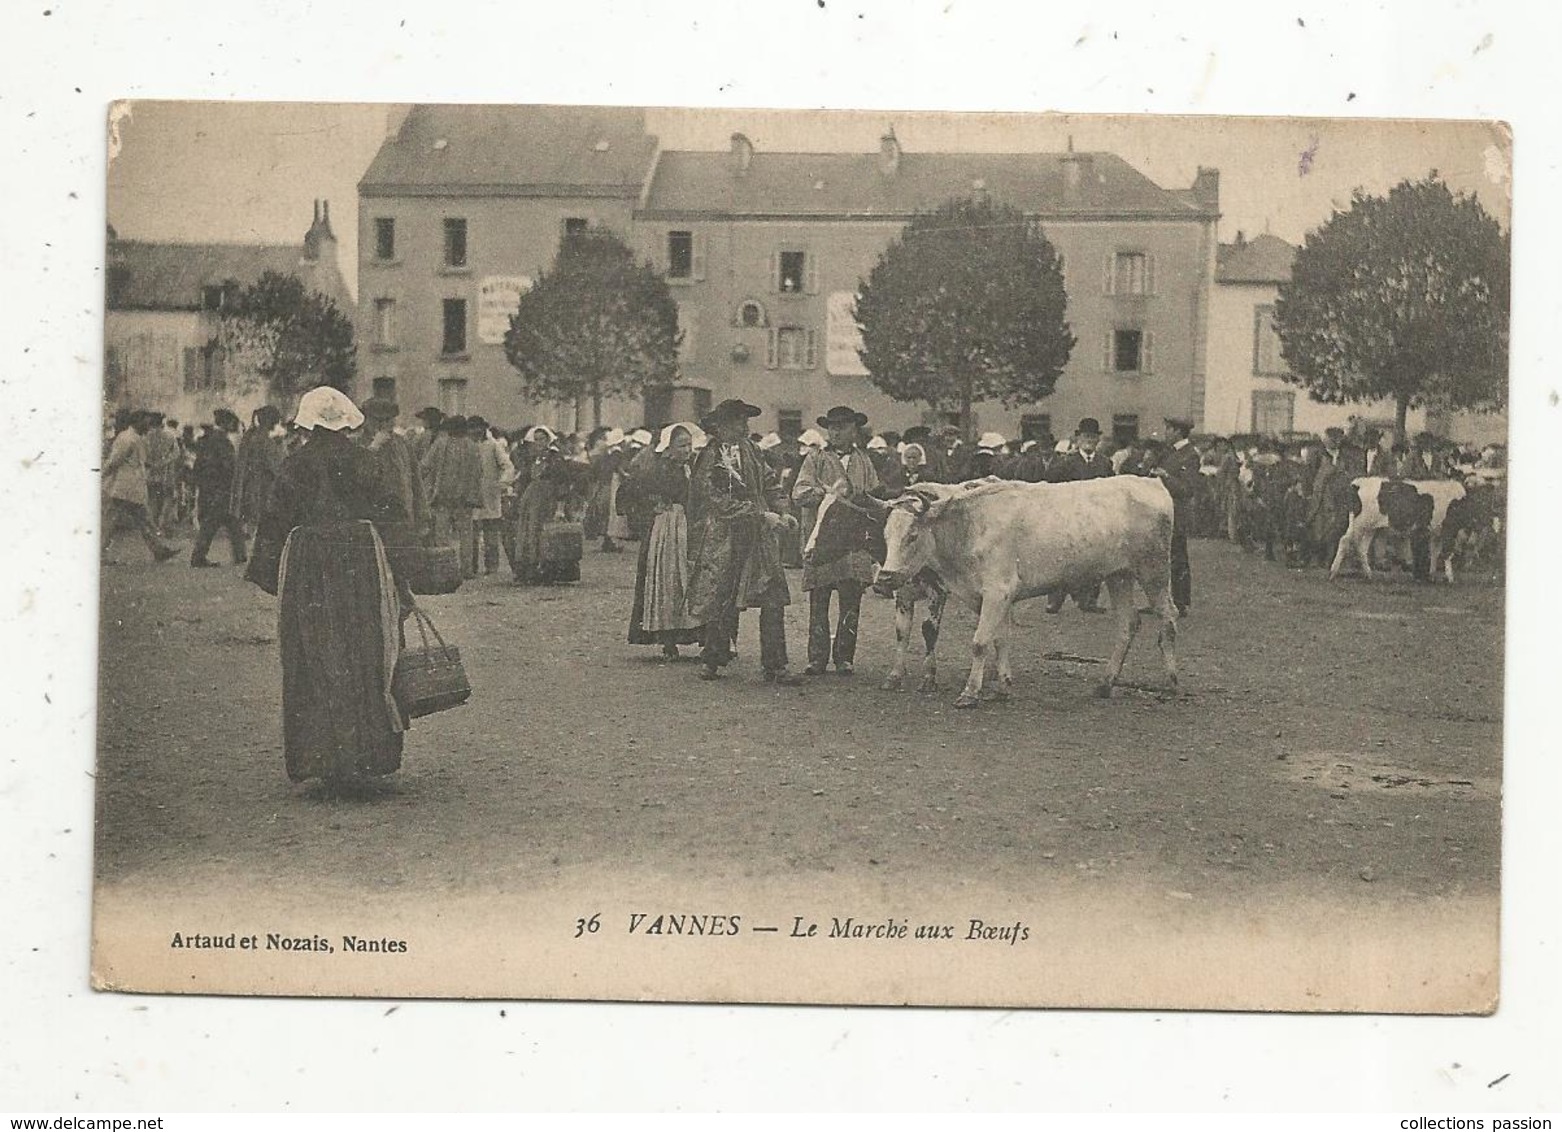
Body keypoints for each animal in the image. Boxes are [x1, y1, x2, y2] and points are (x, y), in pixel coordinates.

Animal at [874, 471, 1174, 702]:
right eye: (886, 535)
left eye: (913, 535)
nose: (884, 579)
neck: (970, 525)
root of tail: (1152, 483)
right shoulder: (997, 597)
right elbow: (999, 639)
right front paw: (1003, 687)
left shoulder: (998, 591)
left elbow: (980, 642)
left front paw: (970, 693)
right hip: (1119, 575)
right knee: (1128, 623)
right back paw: (1105, 684)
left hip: (1154, 572)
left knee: (1168, 618)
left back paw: (1170, 683)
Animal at [1324, 477, 1468, 583]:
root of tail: (1357, 483)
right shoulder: (1450, 529)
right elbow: (1447, 553)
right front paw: (1450, 578)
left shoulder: (1436, 532)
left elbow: (1434, 552)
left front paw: (1432, 575)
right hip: (1359, 524)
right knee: (1345, 541)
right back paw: (1333, 573)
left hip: (1369, 528)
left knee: (1362, 548)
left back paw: (1369, 575)